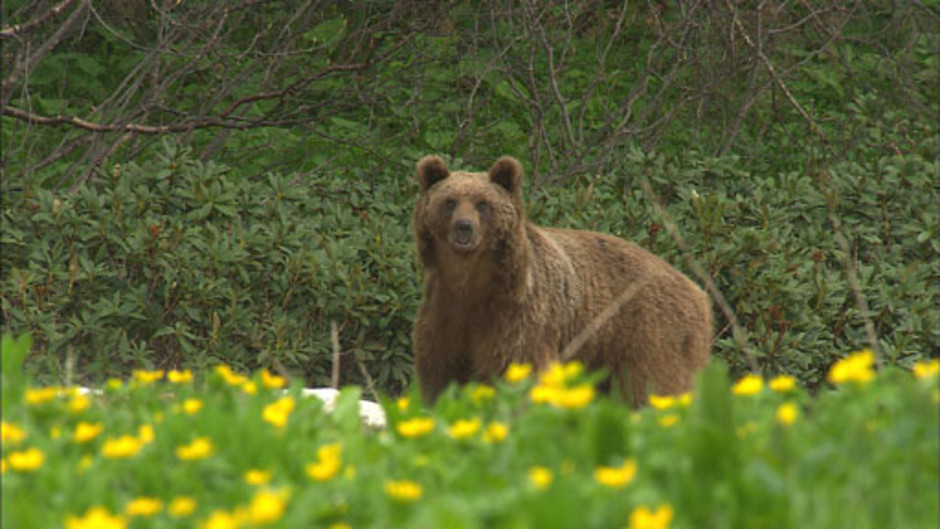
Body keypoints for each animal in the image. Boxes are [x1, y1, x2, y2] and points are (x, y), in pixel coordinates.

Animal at [412, 155, 712, 402]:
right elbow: (441, 375)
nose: (464, 227)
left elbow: (520, 370)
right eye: (449, 202)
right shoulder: (445, 314)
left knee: (657, 387)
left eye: (482, 203)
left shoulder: (517, 316)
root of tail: (698, 292)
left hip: (651, 335)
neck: (471, 283)